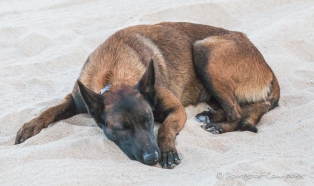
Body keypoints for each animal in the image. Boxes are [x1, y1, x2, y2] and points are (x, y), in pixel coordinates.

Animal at [14, 22, 280, 169]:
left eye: (149, 120)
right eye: (122, 129)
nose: (152, 157)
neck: (114, 76)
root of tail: (268, 67)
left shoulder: (176, 110)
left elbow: (165, 129)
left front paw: (168, 151)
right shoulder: (76, 98)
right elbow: (50, 110)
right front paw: (30, 126)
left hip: (204, 50)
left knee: (237, 113)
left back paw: (217, 126)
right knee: (237, 109)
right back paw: (210, 116)